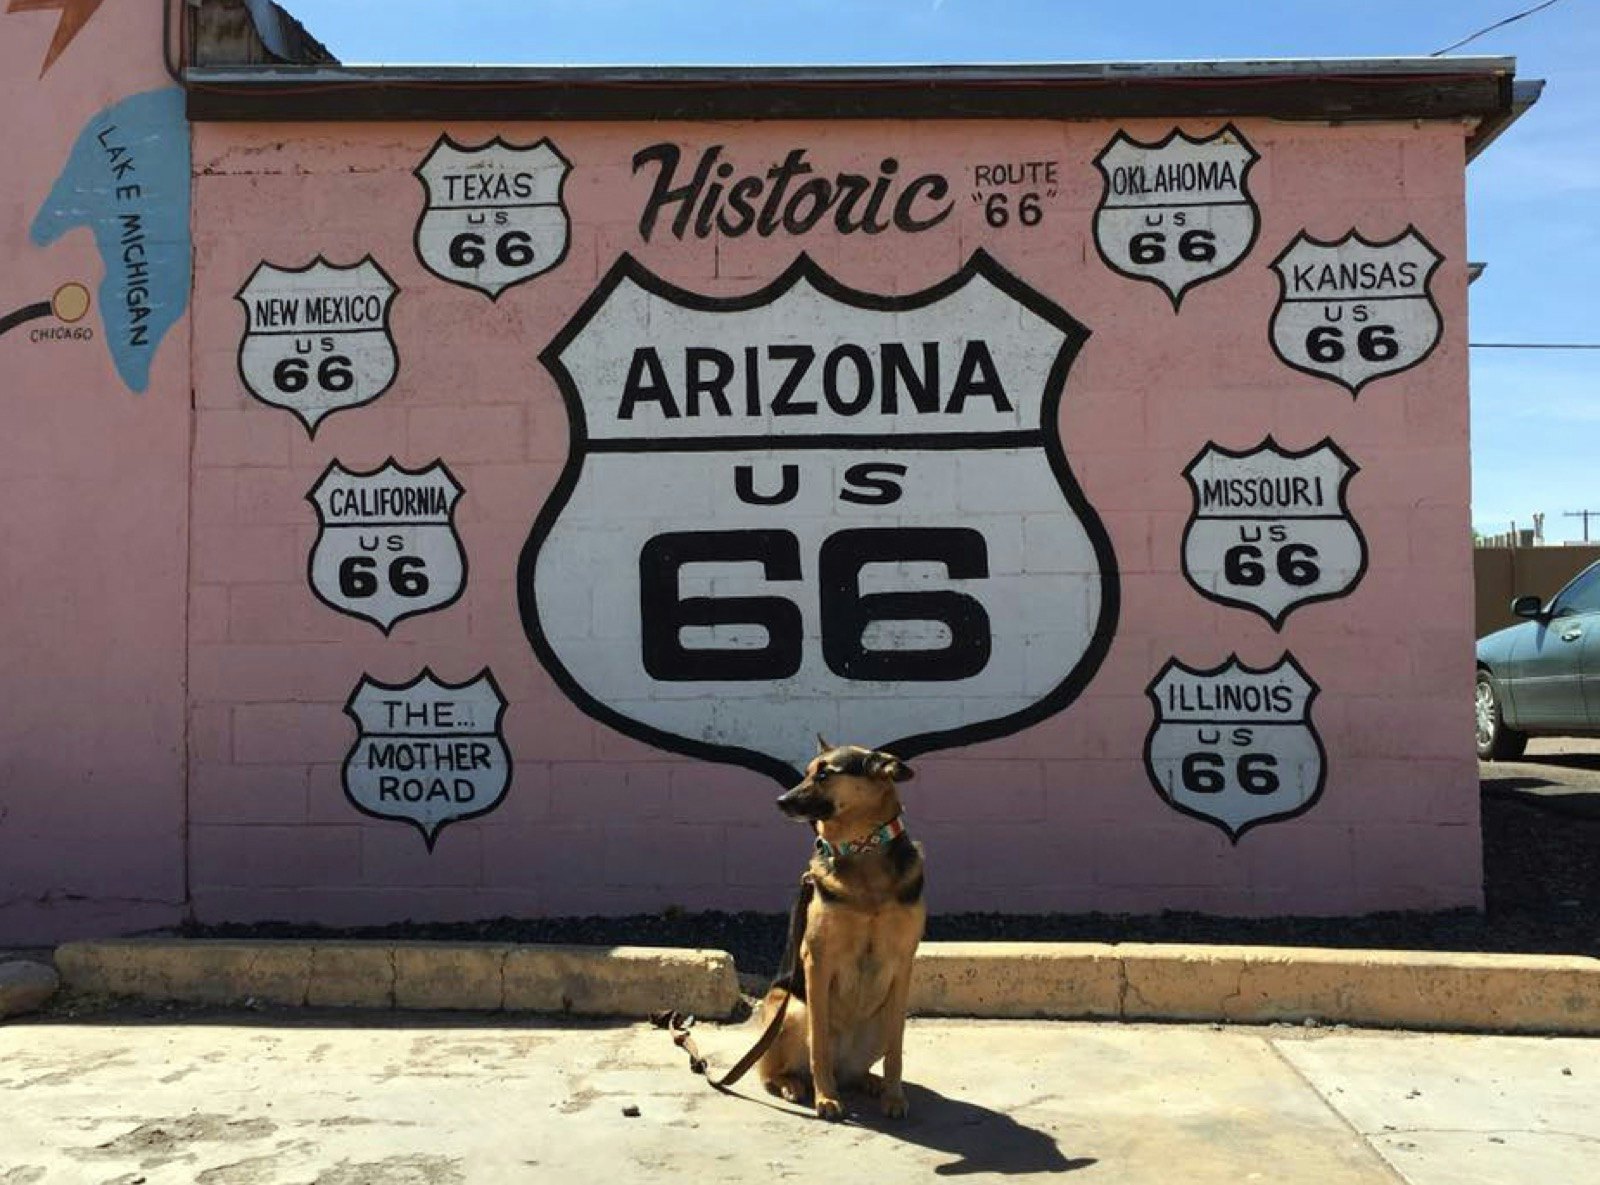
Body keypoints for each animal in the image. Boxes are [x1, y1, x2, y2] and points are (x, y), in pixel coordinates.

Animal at [758, 738, 928, 1119]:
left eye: (825, 774)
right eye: (807, 772)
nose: (779, 801)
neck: (863, 848)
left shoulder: (903, 964)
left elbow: (896, 1051)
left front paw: (894, 1096)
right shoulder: (817, 961)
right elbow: (819, 1045)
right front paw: (826, 1098)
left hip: (880, 1019)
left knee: (863, 1066)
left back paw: (870, 1082)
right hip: (792, 1009)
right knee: (774, 1072)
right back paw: (795, 1085)